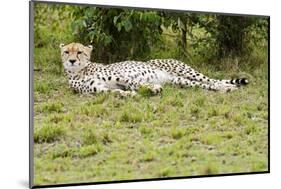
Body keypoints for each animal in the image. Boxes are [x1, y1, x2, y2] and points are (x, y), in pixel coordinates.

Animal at [58, 42, 247, 96]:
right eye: (67, 52)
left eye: (79, 52)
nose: (72, 61)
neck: (79, 71)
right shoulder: (98, 88)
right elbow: (115, 92)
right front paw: (129, 95)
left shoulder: (122, 77)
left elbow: (137, 83)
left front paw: (153, 88)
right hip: (180, 81)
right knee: (204, 85)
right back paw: (225, 88)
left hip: (186, 71)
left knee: (211, 80)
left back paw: (228, 86)